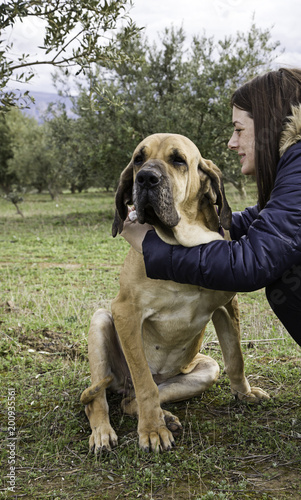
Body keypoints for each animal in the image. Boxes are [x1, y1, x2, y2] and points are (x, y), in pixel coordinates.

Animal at [79, 133, 268, 454]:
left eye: (178, 160)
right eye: (138, 159)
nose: (145, 178)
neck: (183, 249)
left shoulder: (227, 306)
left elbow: (236, 358)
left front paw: (244, 393)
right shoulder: (125, 313)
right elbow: (144, 383)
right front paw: (152, 430)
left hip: (205, 369)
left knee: (133, 401)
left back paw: (165, 416)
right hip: (101, 322)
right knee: (105, 399)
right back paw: (107, 431)